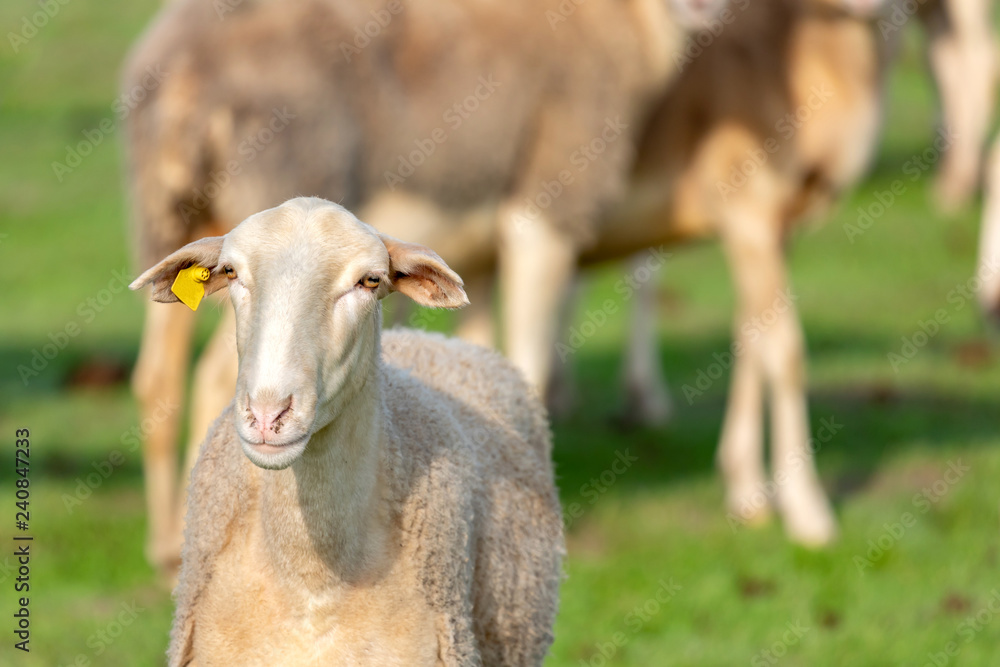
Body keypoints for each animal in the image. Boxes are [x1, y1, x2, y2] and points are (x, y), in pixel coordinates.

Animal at [121, 0, 697, 574]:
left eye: (370, 280)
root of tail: (183, 75)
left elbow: (481, 342)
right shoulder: (552, 191)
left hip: (167, 222)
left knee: (157, 376)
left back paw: (168, 543)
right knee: (214, 377)